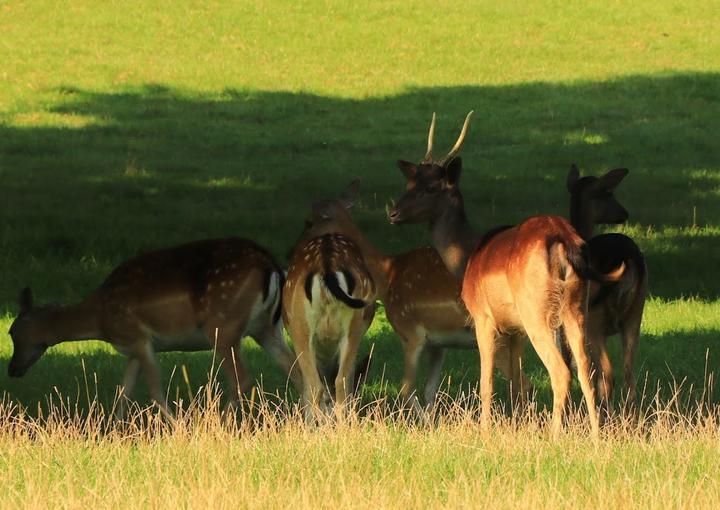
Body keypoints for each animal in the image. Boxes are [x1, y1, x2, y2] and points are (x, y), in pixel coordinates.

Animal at [9, 237, 306, 416]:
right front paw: (113, 431)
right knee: (297, 371)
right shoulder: (132, 350)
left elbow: (154, 392)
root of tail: (272, 266)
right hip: (267, 328)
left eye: (12, 332)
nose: (12, 369)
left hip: (224, 326)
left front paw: (177, 430)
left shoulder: (140, 338)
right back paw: (307, 422)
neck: (100, 318)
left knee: (242, 379)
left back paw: (218, 425)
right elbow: (123, 393)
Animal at [300, 180, 536, 414]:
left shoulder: (410, 332)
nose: (295, 249)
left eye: (309, 222)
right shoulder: (438, 343)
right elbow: (430, 391)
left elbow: (406, 391)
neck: (387, 276)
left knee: (524, 383)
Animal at [382, 113, 624, 436]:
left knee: (561, 371)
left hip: (536, 310)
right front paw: (518, 425)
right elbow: (517, 385)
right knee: (587, 369)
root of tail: (564, 241)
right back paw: (595, 436)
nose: (393, 213)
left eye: (432, 187)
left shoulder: (483, 318)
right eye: (409, 181)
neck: (468, 257)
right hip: (575, 307)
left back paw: (555, 436)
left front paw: (486, 431)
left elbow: (487, 384)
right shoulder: (515, 329)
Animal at [564, 165, 648, 408]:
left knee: (608, 375)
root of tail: (629, 259)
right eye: (609, 193)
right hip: (636, 311)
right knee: (628, 372)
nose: (625, 213)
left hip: (593, 318)